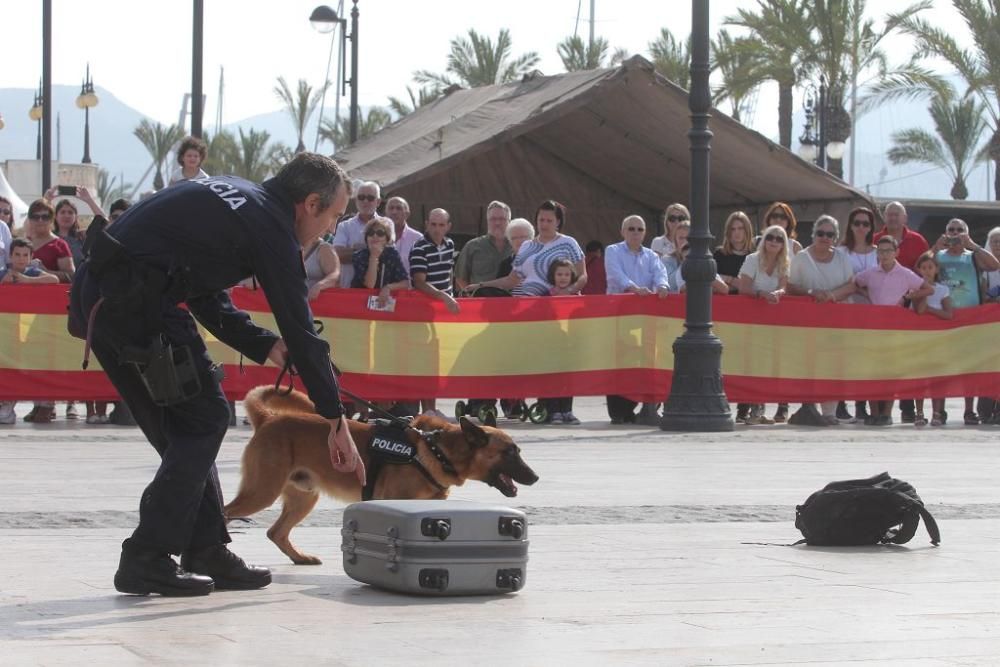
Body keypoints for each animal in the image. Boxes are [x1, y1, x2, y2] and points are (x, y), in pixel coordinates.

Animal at [224, 386, 544, 564]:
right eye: (510, 452)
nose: (535, 478)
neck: (437, 449)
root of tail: (268, 418)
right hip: (262, 492)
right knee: (227, 513)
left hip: (303, 498)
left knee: (276, 532)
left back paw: (299, 557)